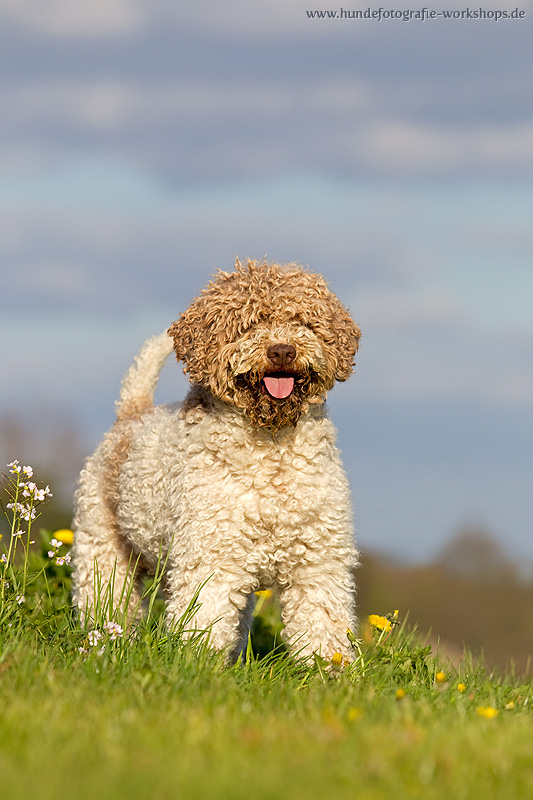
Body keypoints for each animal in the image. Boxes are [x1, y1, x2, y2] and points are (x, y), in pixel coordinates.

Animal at [71, 260, 362, 660]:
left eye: (303, 321)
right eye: (249, 324)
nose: (282, 351)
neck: (272, 446)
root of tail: (132, 413)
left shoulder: (318, 560)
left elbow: (323, 624)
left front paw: (328, 668)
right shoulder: (212, 556)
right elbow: (205, 616)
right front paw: (193, 663)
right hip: (103, 545)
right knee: (106, 598)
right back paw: (107, 643)